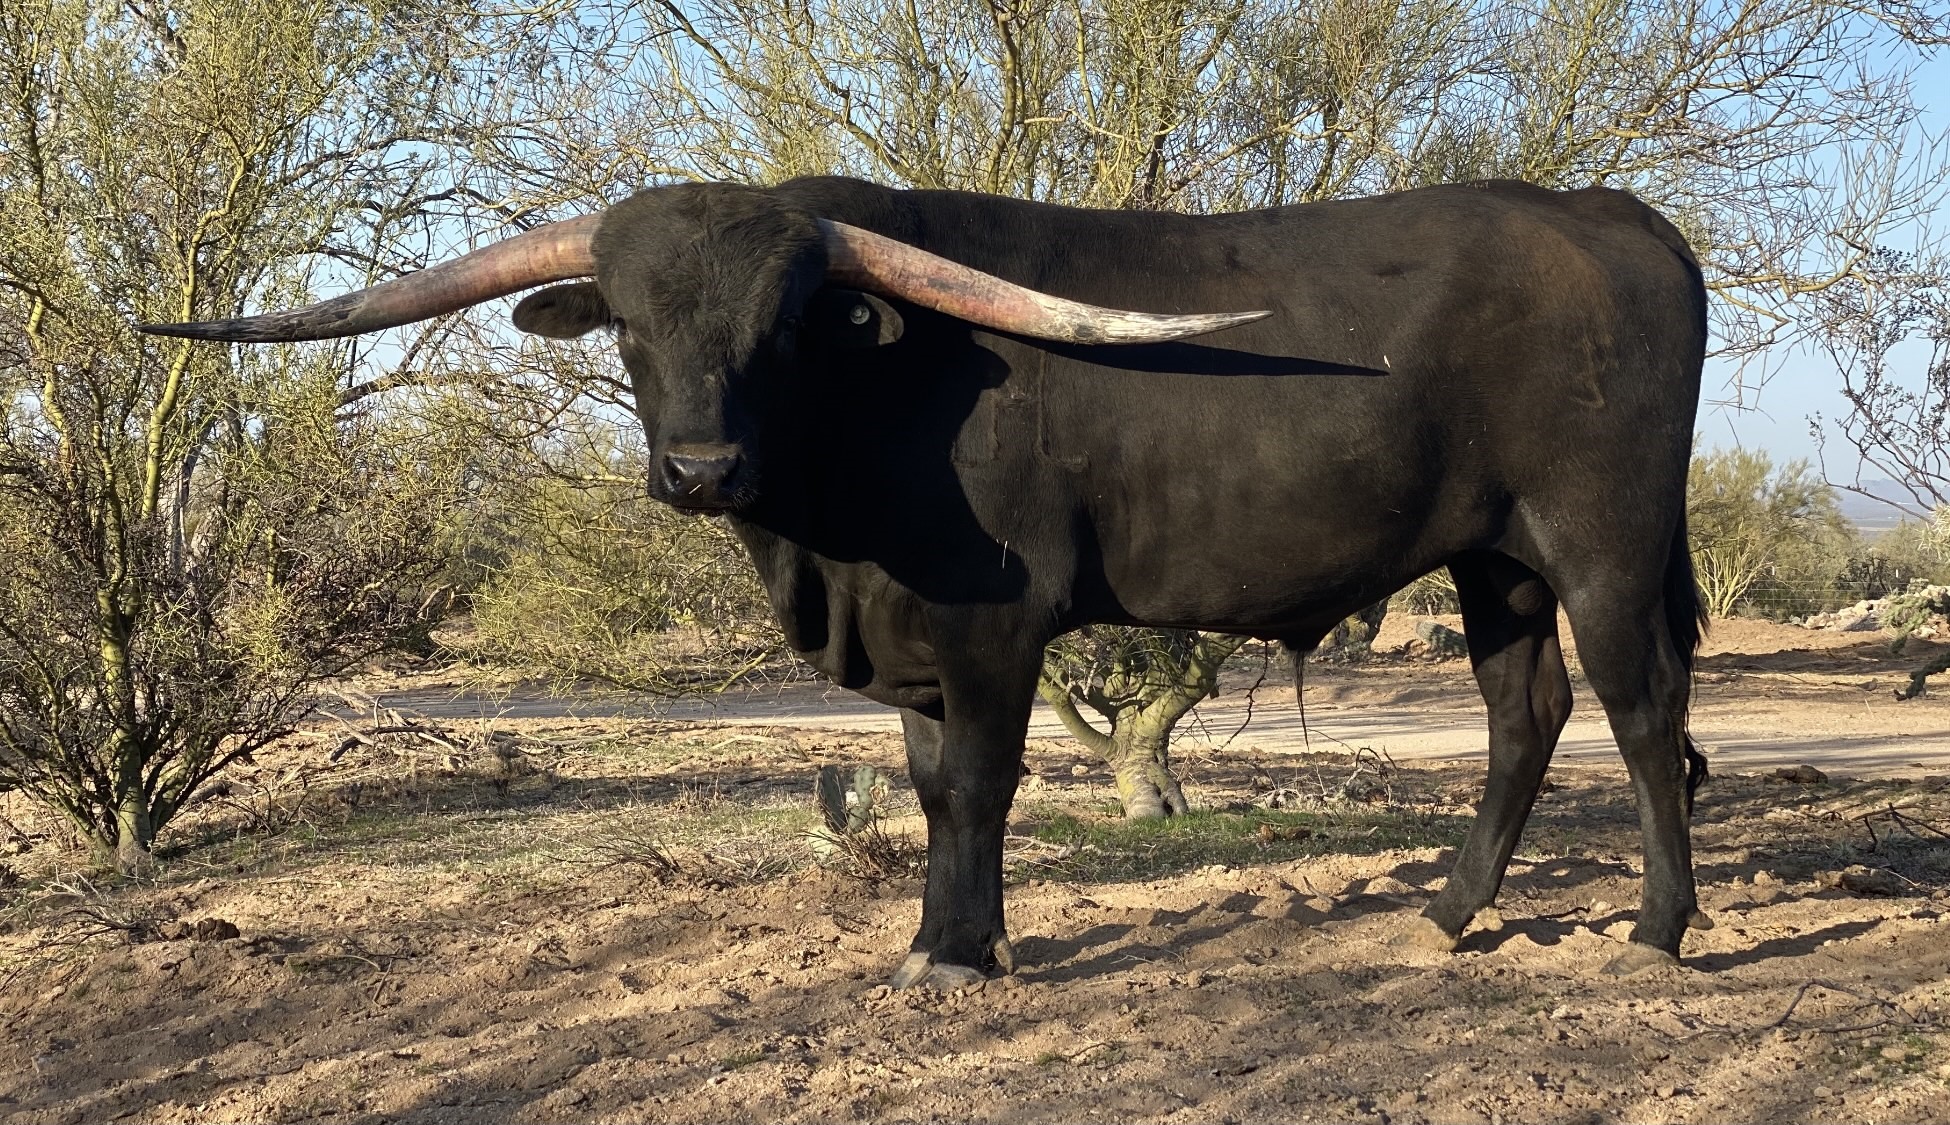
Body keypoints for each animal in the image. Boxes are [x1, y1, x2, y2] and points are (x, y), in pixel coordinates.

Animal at [144, 176, 1711, 987]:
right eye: (634, 327)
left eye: (784, 322)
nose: (701, 467)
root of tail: (1607, 211)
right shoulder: (902, 642)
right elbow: (920, 781)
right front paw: (958, 935)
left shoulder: (989, 625)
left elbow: (973, 787)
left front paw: (951, 956)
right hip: (1494, 558)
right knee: (1525, 713)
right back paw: (1448, 916)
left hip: (1603, 539)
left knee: (1642, 715)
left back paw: (1656, 930)